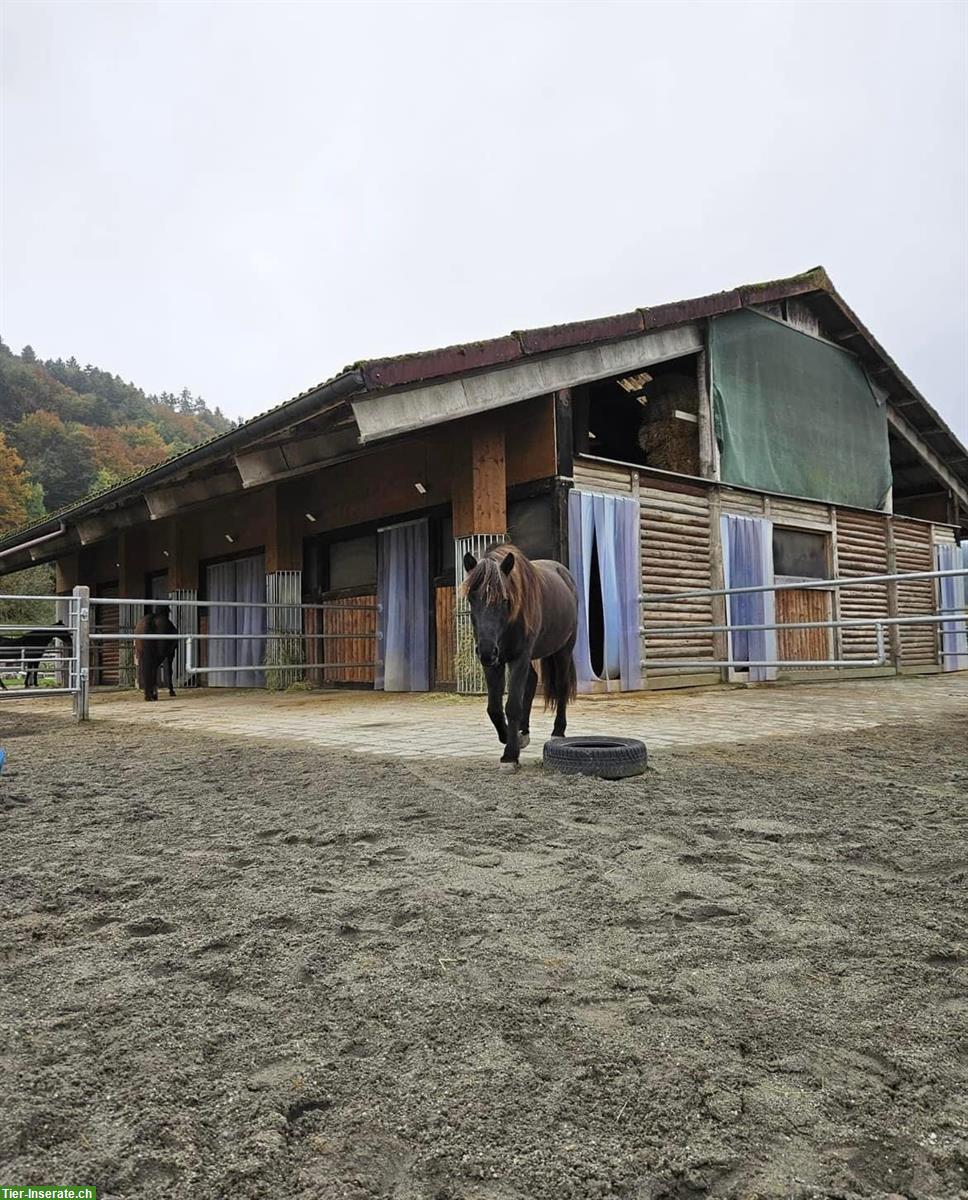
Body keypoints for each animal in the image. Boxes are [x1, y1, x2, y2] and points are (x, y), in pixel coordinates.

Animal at [463, 544, 575, 768]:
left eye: (505, 599)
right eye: (471, 598)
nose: (486, 649)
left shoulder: (519, 657)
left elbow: (513, 705)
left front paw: (510, 755)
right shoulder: (494, 662)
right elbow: (494, 708)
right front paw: (508, 736)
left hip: (563, 650)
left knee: (562, 686)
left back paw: (558, 731)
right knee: (531, 681)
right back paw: (523, 732)